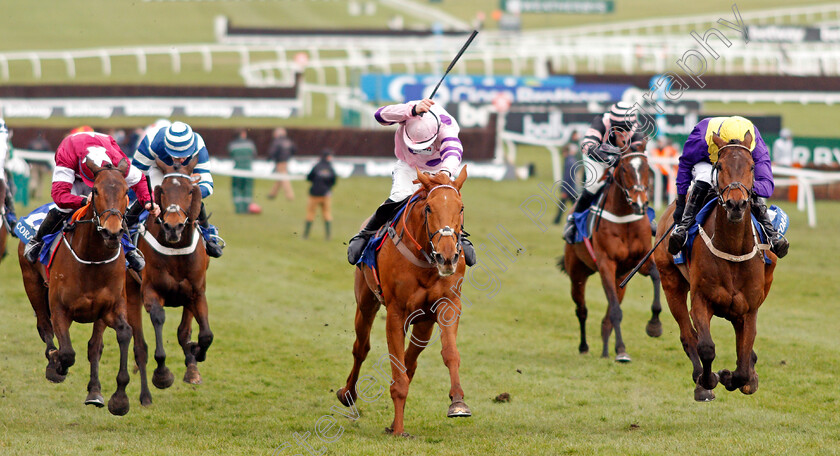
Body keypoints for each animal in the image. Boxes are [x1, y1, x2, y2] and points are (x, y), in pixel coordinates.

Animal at [18, 159, 133, 416]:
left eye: (125, 192)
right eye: (96, 191)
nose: (112, 232)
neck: (93, 259)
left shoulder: (110, 308)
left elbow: (121, 334)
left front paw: (119, 399)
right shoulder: (60, 308)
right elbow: (67, 352)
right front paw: (57, 365)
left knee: (94, 346)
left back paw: (94, 391)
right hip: (32, 284)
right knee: (45, 326)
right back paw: (53, 361)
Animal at [129, 158, 213, 406]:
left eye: (190, 191)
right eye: (163, 190)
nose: (173, 226)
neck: (175, 250)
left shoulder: (196, 292)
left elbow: (204, 335)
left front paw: (196, 354)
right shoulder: (150, 291)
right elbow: (158, 320)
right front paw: (162, 374)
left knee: (184, 331)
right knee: (139, 344)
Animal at [340, 168, 472, 438]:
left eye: (461, 207)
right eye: (429, 208)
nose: (447, 256)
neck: (426, 260)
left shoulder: (448, 305)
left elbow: (450, 354)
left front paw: (458, 403)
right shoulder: (396, 314)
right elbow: (397, 371)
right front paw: (399, 430)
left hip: (423, 323)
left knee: (410, 363)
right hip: (366, 303)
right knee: (361, 348)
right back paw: (347, 394)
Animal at [556, 141, 664, 362]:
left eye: (646, 167)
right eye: (624, 169)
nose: (639, 203)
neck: (624, 219)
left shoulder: (639, 261)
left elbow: (656, 278)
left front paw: (654, 326)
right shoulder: (606, 263)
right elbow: (615, 311)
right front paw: (622, 350)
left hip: (620, 279)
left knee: (607, 315)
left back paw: (607, 350)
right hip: (577, 273)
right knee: (582, 310)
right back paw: (584, 347)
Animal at [652, 130, 776, 400]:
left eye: (752, 166)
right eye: (720, 166)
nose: (736, 204)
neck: (732, 249)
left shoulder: (749, 308)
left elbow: (743, 360)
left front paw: (737, 377)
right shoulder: (701, 300)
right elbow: (706, 346)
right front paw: (710, 380)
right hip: (671, 283)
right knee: (688, 335)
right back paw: (701, 381)